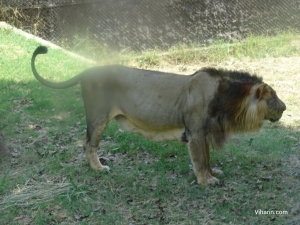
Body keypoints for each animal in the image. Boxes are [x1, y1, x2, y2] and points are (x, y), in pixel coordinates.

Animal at [31, 45, 286, 185]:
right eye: (273, 97)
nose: (285, 108)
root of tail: (86, 71)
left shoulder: (202, 133)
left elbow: (207, 157)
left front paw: (212, 173)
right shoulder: (194, 132)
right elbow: (199, 160)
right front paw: (206, 181)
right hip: (98, 115)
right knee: (88, 144)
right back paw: (99, 168)